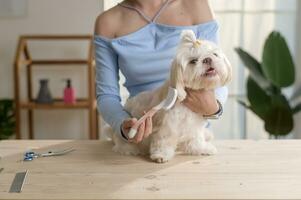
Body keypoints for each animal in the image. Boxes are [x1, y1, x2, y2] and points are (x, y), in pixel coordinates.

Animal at [111, 30, 231, 163]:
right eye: (193, 61)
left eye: (214, 54)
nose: (208, 59)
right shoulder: (167, 126)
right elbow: (163, 140)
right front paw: (161, 155)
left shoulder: (193, 127)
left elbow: (194, 140)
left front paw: (202, 148)